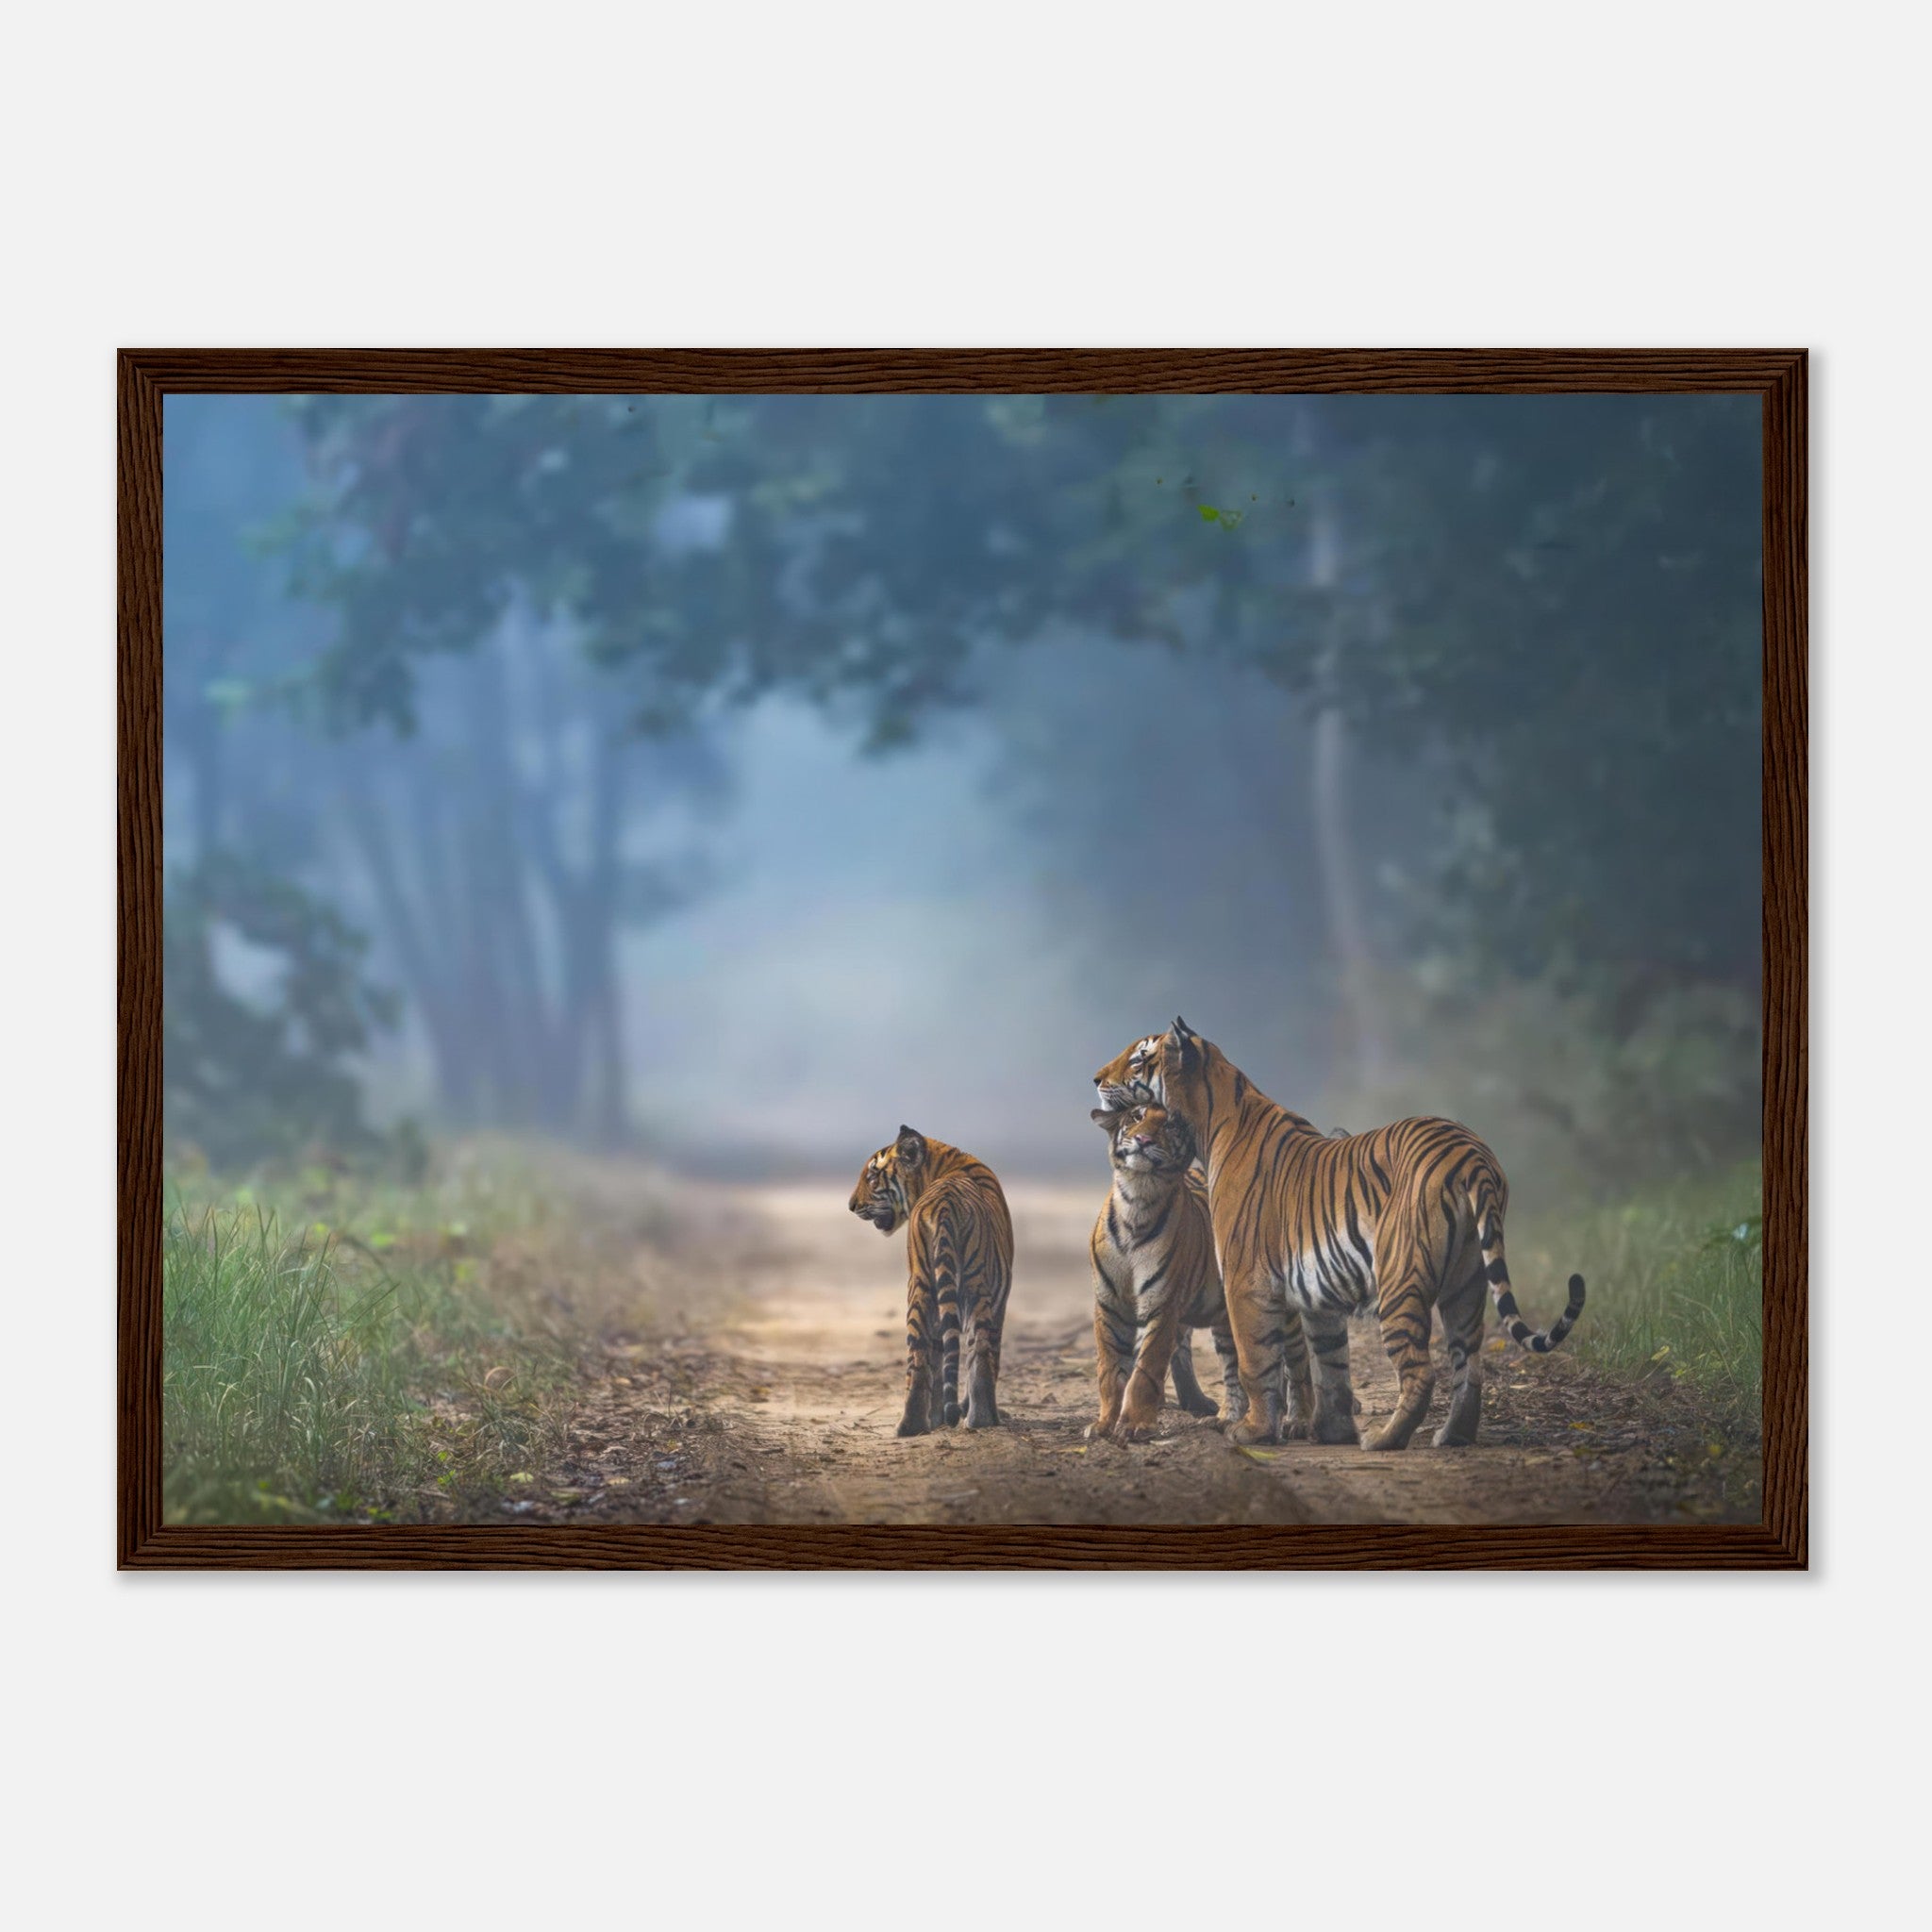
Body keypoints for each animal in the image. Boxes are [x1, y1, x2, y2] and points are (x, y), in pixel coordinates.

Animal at [848, 1125, 1014, 1437]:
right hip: (970, 1285)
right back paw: (979, 1418)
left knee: (922, 1355)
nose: (851, 1206)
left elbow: (941, 1357)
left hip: (923, 1286)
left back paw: (912, 1426)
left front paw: (939, 1417)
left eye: (872, 1177)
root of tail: (945, 1204)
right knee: (974, 1351)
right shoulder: (1000, 1300)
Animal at [1087, 1101, 1292, 1440]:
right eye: (1136, 1117)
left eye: (1170, 1126)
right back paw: (1223, 1417)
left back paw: (1296, 1419)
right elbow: (1110, 1369)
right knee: (1230, 1367)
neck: (1137, 1199)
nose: (1143, 1139)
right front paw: (1104, 1424)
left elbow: (1146, 1369)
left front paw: (1134, 1425)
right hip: (1224, 1319)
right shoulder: (1109, 1305)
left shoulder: (1161, 1305)